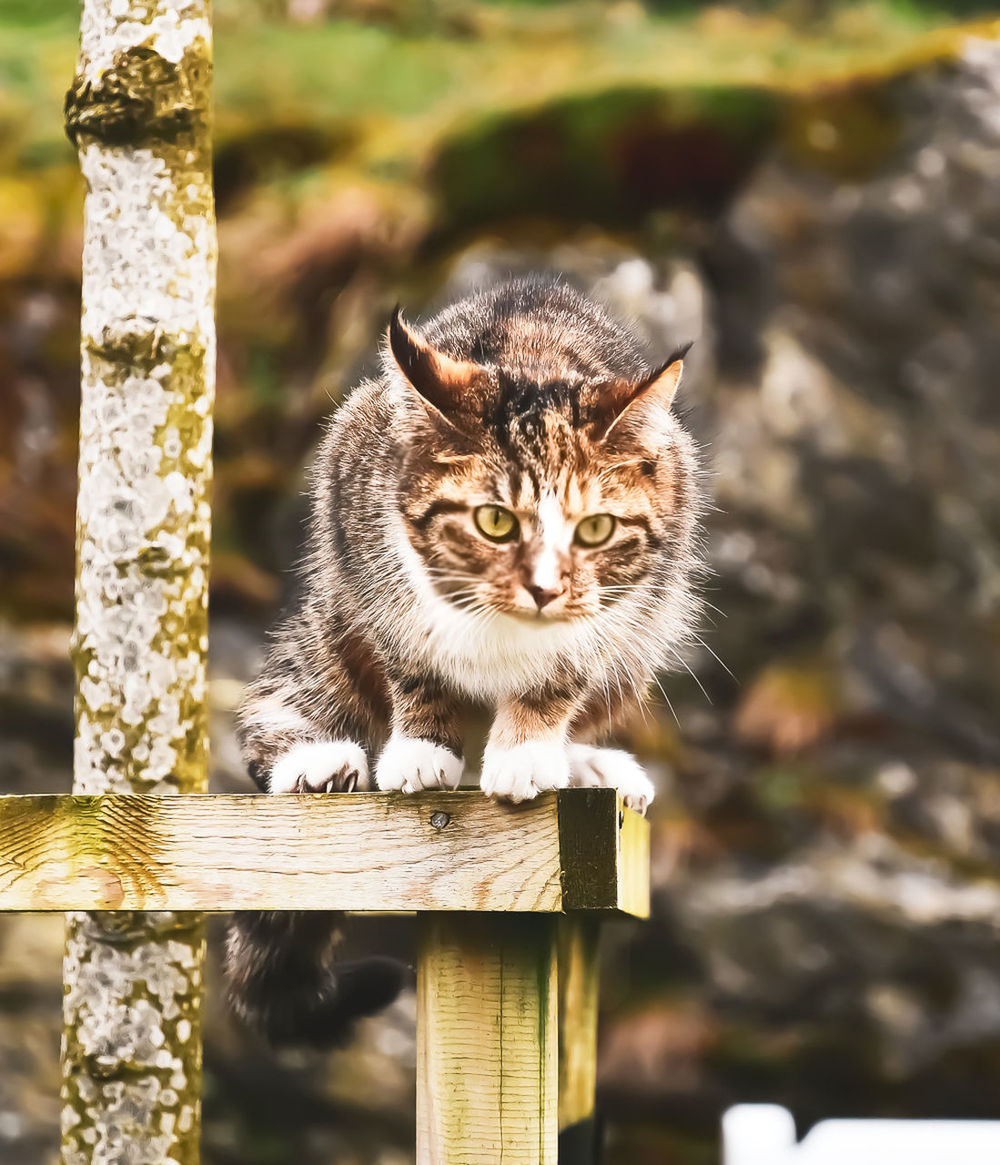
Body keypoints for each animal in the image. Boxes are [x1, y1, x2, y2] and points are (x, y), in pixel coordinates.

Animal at [223, 279, 699, 1048]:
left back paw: (587, 765)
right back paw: (315, 759)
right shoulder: (363, 532)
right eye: (494, 521)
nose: (545, 588)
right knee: (292, 686)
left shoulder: (638, 592)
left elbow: (566, 671)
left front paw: (529, 750)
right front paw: (423, 747)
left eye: (596, 528)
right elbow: (409, 654)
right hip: (331, 611)